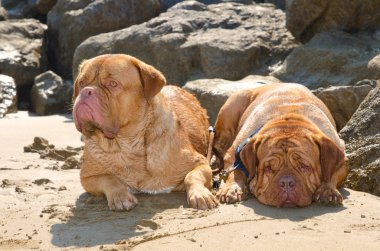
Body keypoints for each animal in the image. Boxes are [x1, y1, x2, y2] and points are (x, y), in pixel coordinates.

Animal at [72, 54, 218, 211]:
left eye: (113, 84)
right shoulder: (87, 177)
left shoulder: (201, 163)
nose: (86, 91)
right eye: (81, 83)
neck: (126, 145)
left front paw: (200, 195)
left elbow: (192, 176)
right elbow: (109, 179)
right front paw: (120, 196)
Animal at [214, 83, 348, 207]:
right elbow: (235, 171)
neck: (289, 118)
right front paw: (232, 188)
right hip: (233, 105)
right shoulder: (235, 151)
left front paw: (327, 190)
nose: (287, 183)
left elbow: (331, 171)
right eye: (268, 168)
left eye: (305, 166)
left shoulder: (341, 157)